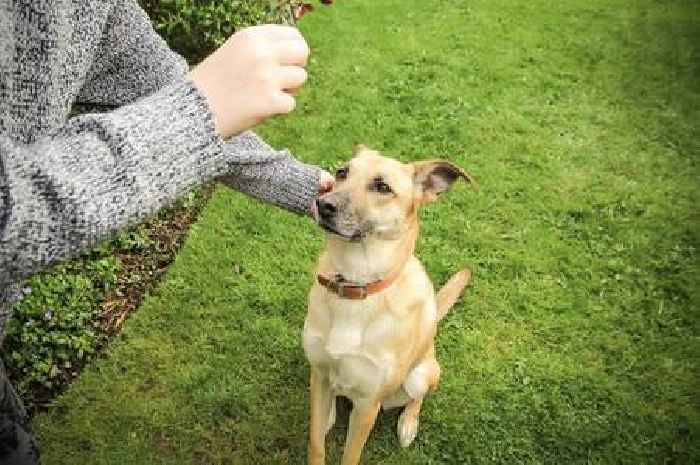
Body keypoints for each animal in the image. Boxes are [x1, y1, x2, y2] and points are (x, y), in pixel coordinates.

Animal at [302, 146, 474, 464]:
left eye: (382, 187)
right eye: (342, 172)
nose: (323, 204)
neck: (355, 286)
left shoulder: (367, 404)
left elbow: (350, 456)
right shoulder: (318, 373)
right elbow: (316, 443)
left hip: (421, 375)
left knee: (417, 397)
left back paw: (408, 423)